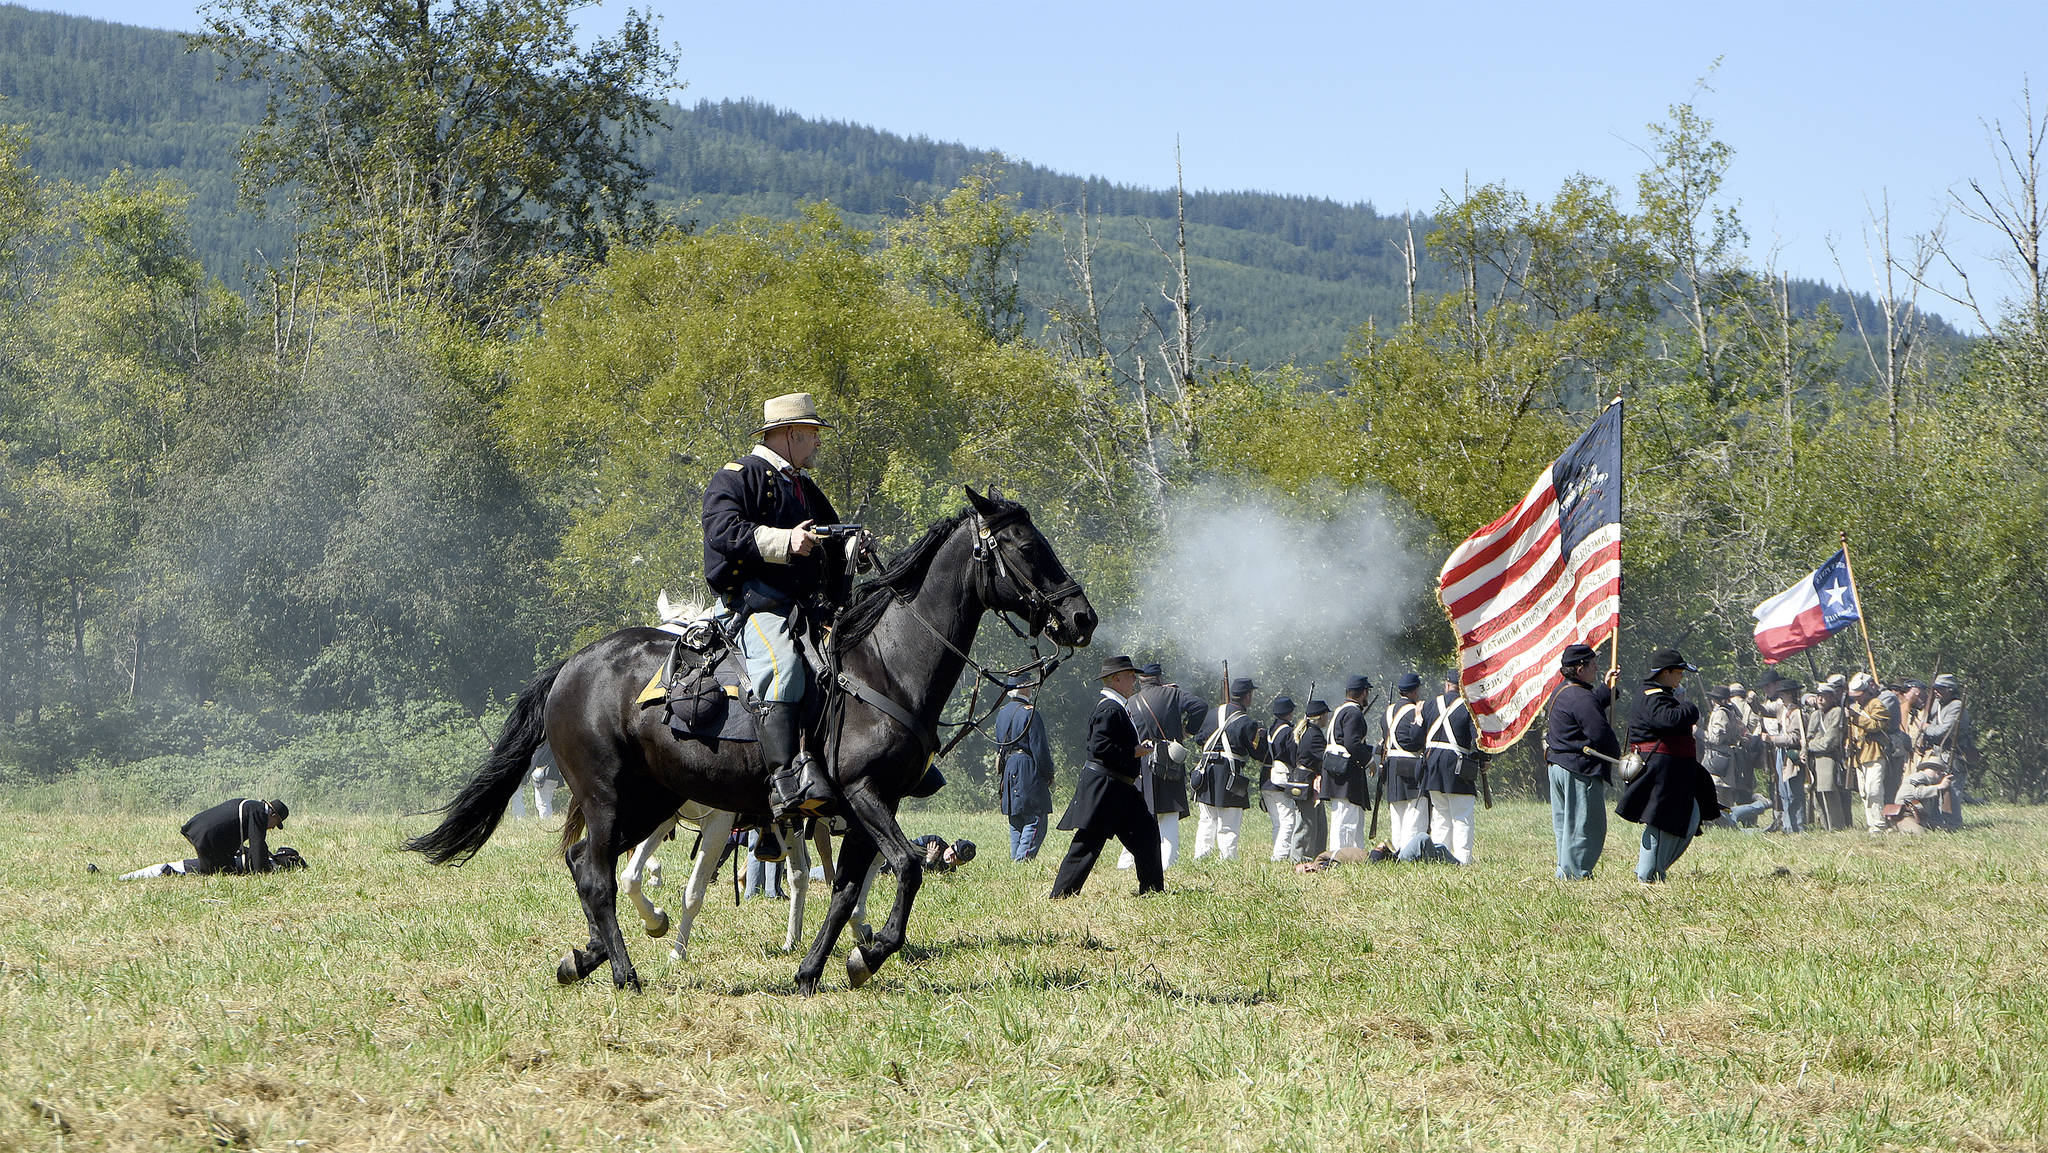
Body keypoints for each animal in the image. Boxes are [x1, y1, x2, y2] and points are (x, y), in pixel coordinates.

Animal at [405, 487, 1097, 991]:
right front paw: (870, 954)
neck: (885, 664)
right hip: (607, 796)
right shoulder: (863, 794)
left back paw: (585, 959)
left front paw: (818, 969)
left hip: (650, 801)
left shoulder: (863, 810)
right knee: (598, 875)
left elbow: (846, 890)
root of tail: (572, 666)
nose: (1080, 618)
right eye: (1025, 546)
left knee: (585, 866)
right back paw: (626, 975)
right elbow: (904, 867)